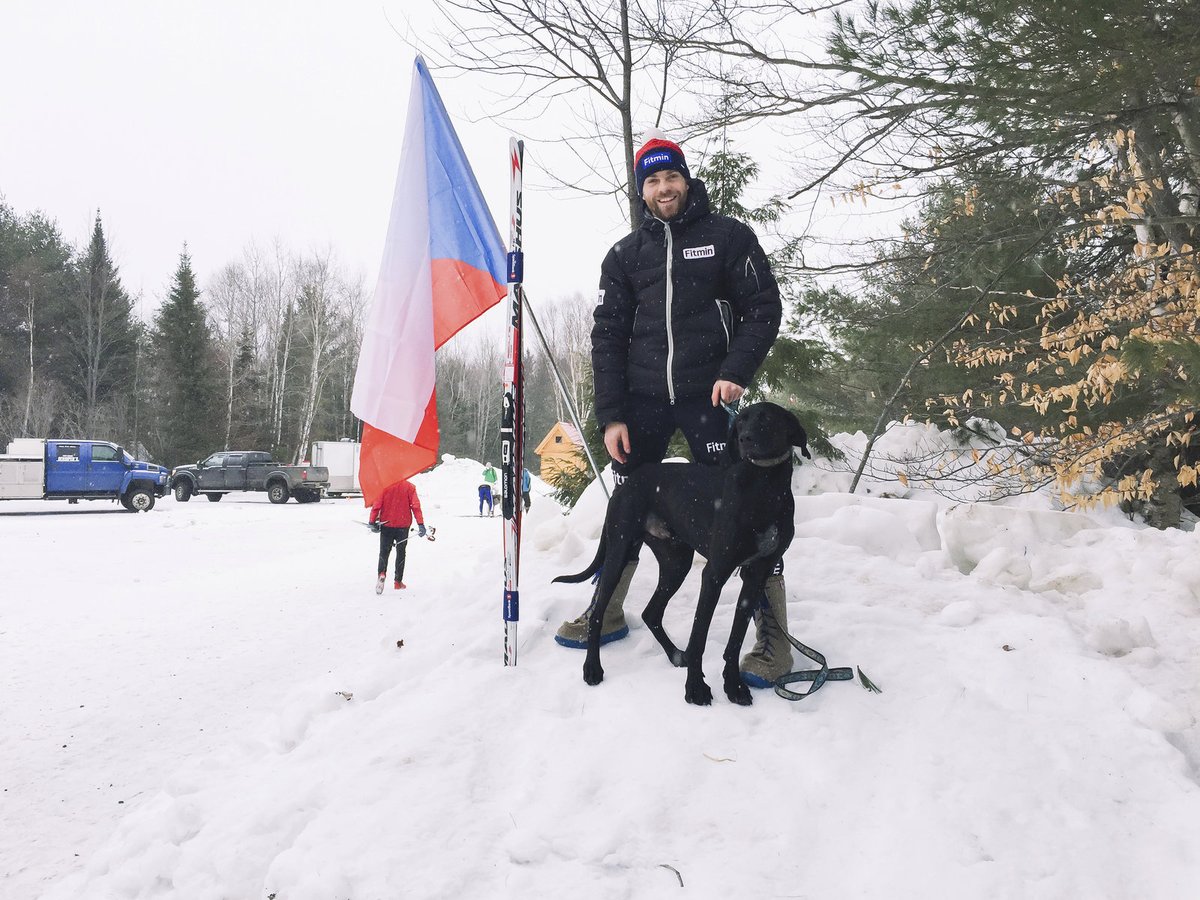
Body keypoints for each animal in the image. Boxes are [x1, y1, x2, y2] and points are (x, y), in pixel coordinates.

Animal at [556, 405, 811, 710]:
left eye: (767, 418)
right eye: (739, 423)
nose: (744, 439)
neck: (764, 487)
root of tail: (629, 482)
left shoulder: (756, 574)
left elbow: (736, 638)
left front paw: (733, 685)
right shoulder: (714, 574)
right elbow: (699, 636)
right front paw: (696, 688)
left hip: (676, 563)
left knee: (651, 612)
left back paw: (677, 655)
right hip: (620, 552)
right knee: (598, 613)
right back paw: (592, 668)